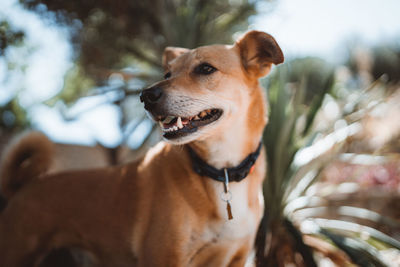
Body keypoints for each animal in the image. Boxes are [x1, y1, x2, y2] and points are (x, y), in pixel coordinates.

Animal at [0, 30, 282, 266]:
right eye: (167, 74)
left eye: (205, 68)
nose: (146, 96)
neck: (221, 171)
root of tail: (23, 186)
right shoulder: (164, 257)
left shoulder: (235, 257)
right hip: (15, 253)